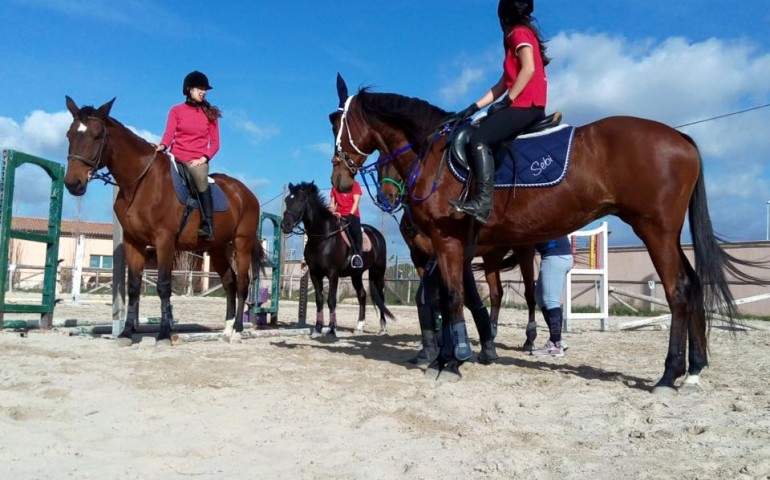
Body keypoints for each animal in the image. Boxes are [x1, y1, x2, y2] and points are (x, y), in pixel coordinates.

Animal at [61, 97, 264, 344]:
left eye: (97, 135)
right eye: (69, 135)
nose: (73, 183)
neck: (141, 183)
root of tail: (245, 193)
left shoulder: (164, 241)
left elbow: (163, 286)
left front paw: (165, 334)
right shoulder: (134, 243)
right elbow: (134, 288)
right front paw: (127, 333)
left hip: (242, 244)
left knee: (242, 283)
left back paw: (237, 331)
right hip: (217, 248)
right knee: (230, 283)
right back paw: (226, 331)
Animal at [280, 182, 392, 336]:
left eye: (301, 200)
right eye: (286, 201)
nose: (285, 225)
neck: (322, 238)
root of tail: (377, 234)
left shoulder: (333, 274)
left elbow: (331, 300)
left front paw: (332, 329)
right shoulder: (315, 274)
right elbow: (319, 300)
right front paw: (318, 328)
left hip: (378, 272)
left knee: (380, 296)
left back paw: (383, 327)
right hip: (356, 274)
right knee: (362, 294)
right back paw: (359, 326)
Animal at [328, 74, 760, 390]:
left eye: (337, 122)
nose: (340, 181)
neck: (436, 155)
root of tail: (680, 137)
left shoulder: (446, 242)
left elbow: (450, 298)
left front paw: (452, 361)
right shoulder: (449, 248)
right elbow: (447, 298)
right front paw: (449, 355)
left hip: (654, 230)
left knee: (678, 290)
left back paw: (669, 375)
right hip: (666, 234)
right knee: (693, 283)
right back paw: (695, 368)